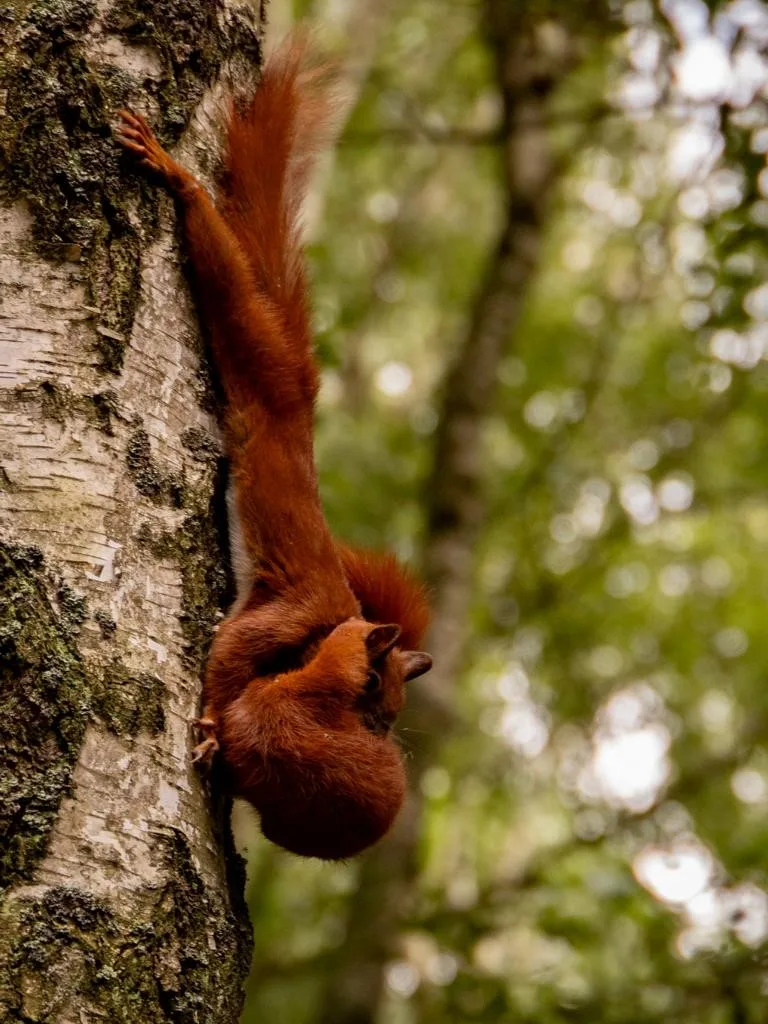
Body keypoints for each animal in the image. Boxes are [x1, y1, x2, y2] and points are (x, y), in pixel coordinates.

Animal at [118, 39, 436, 860]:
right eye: (374, 689)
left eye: (396, 705)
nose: (380, 729)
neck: (323, 633)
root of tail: (301, 401)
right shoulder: (276, 619)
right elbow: (228, 664)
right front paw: (209, 721)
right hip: (259, 368)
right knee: (233, 296)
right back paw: (178, 180)